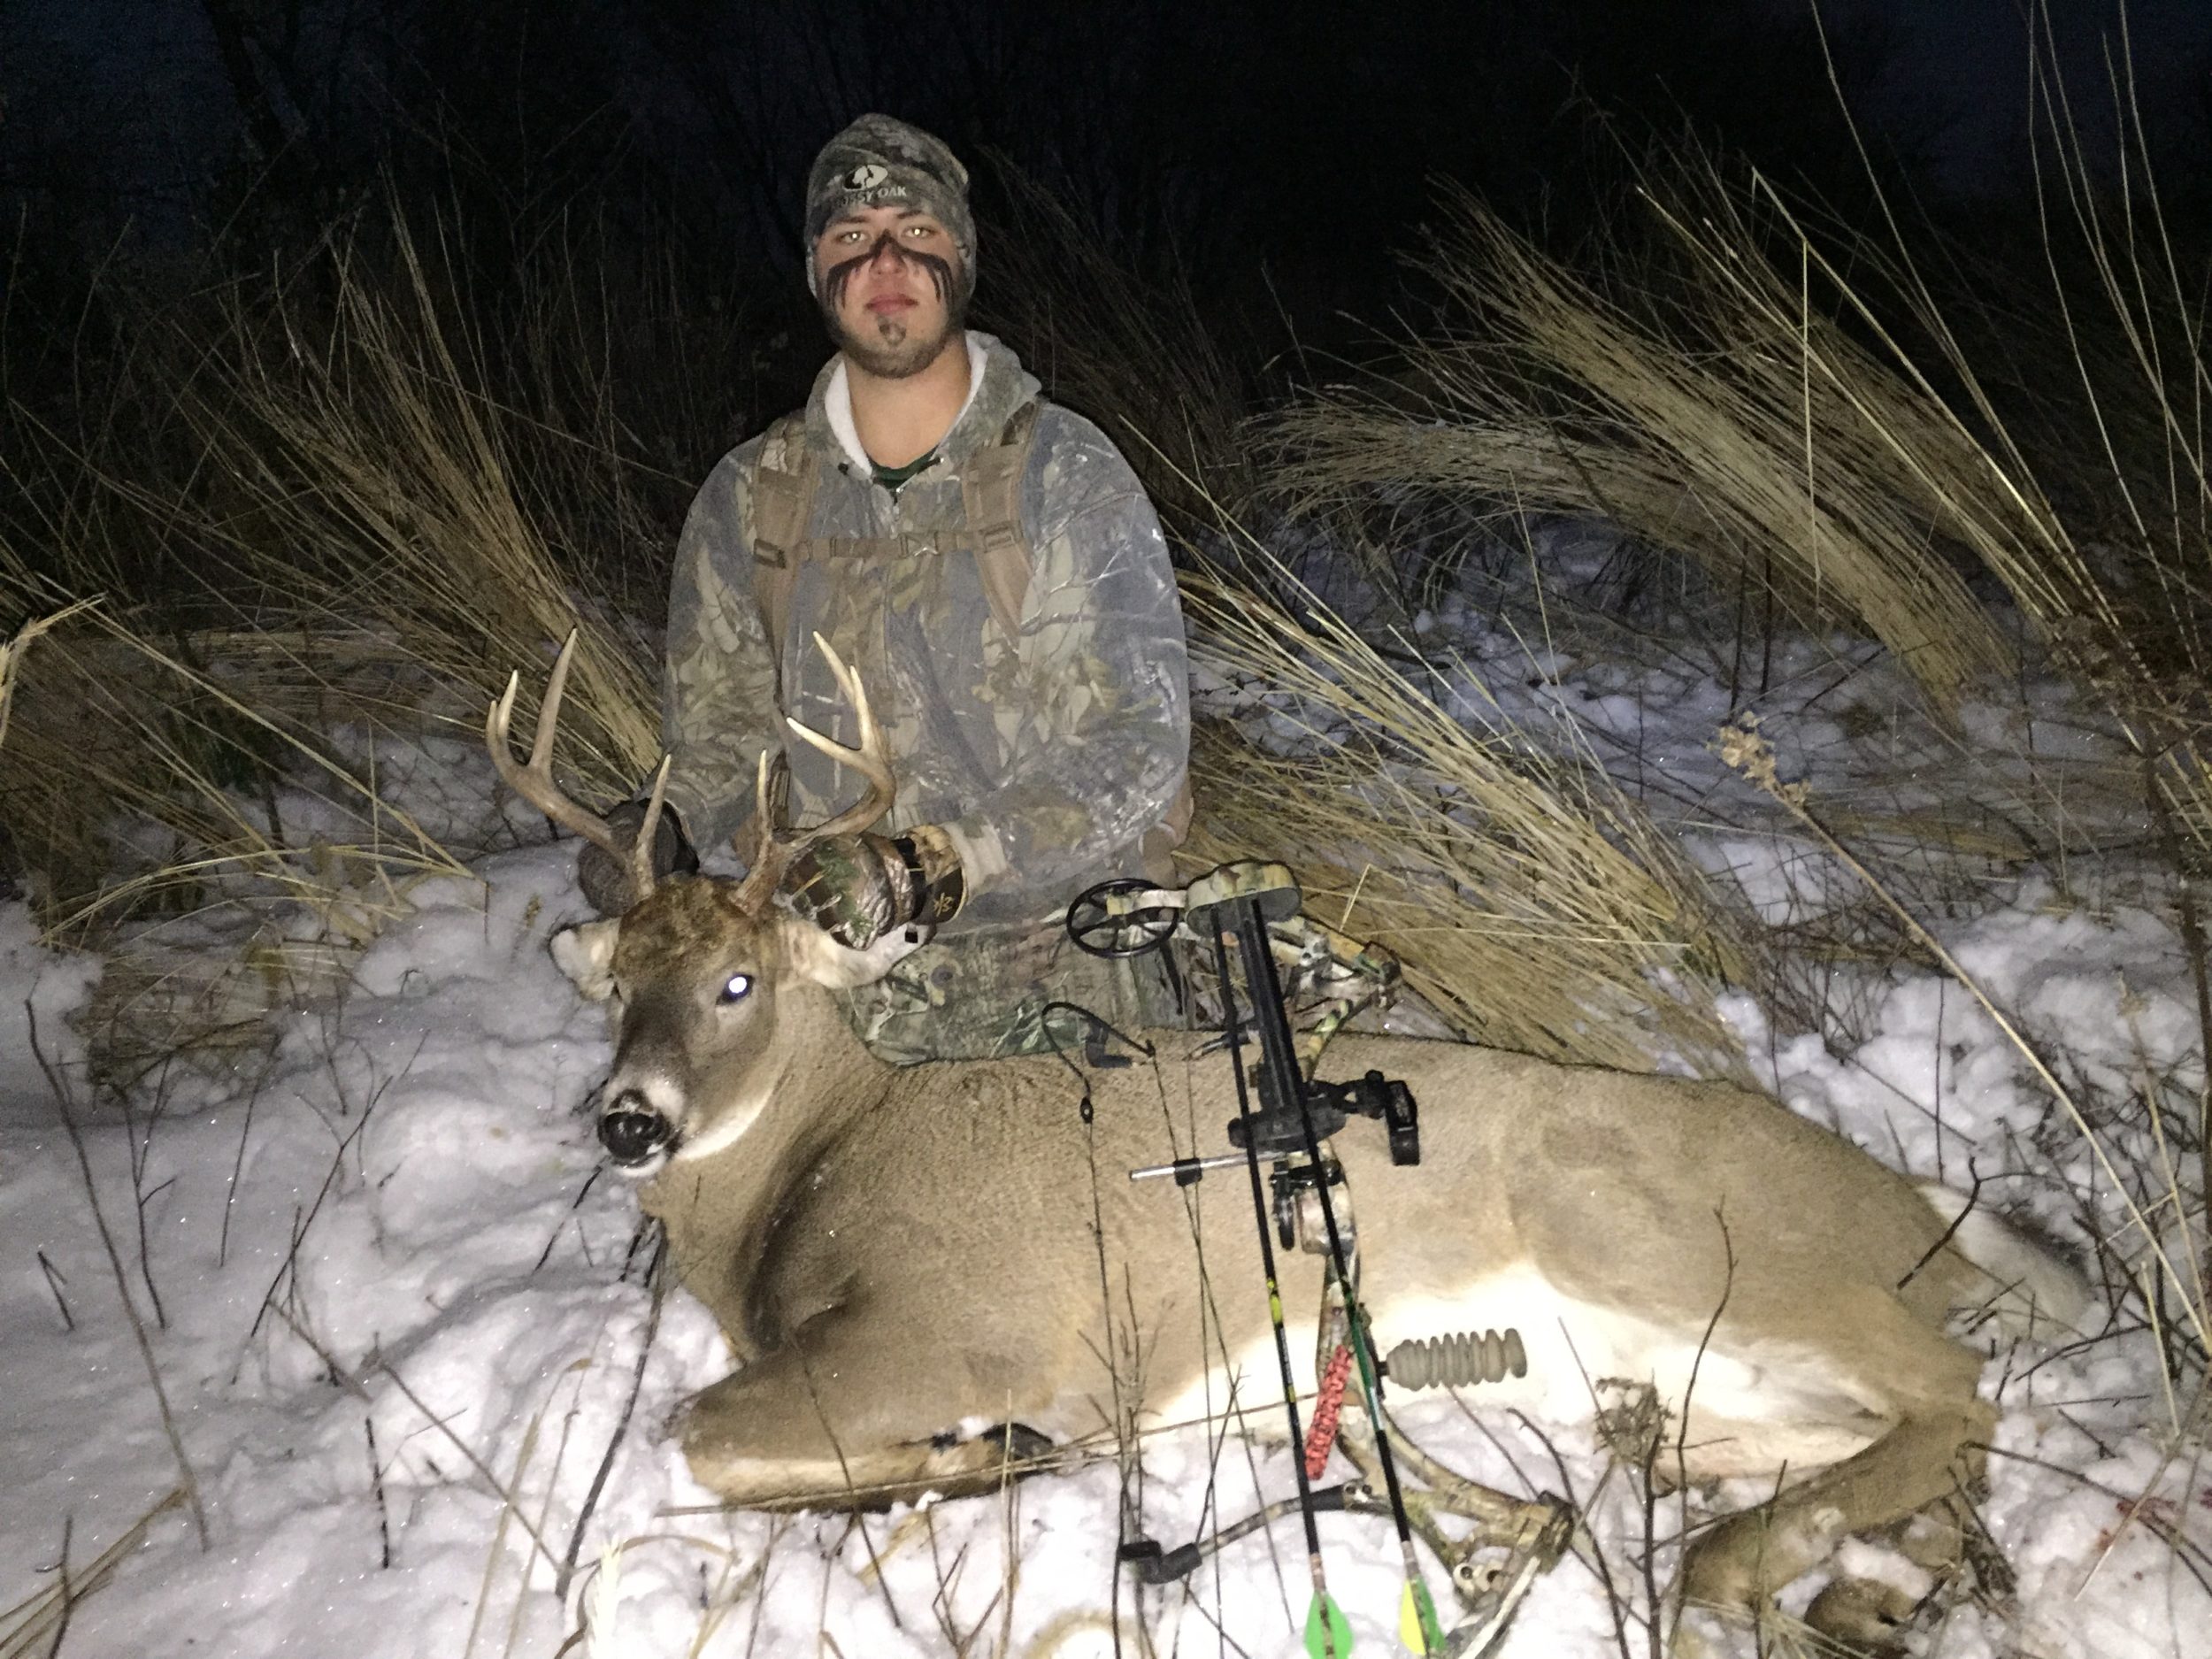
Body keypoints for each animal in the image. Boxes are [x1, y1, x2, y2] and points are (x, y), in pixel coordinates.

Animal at [487, 635, 2086, 1643]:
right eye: (617, 987)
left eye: (739, 982)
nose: (629, 1117)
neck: (813, 1171)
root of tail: (1921, 1215)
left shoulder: (957, 1326)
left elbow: (698, 1433)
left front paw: (982, 1453)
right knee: (1868, 1434)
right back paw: (1764, 1523)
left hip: (1670, 1236)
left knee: (1956, 1391)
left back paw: (1750, 1557)